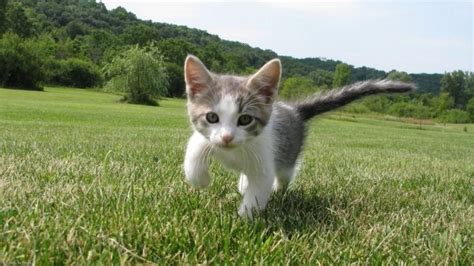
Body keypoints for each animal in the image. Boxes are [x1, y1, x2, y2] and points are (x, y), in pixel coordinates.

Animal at [182, 54, 414, 218]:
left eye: (245, 119)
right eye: (212, 117)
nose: (227, 137)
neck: (234, 152)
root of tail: (295, 110)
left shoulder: (265, 160)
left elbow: (259, 189)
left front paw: (244, 219)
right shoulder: (205, 137)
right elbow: (195, 150)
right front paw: (201, 179)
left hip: (288, 158)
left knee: (284, 176)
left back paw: (275, 190)